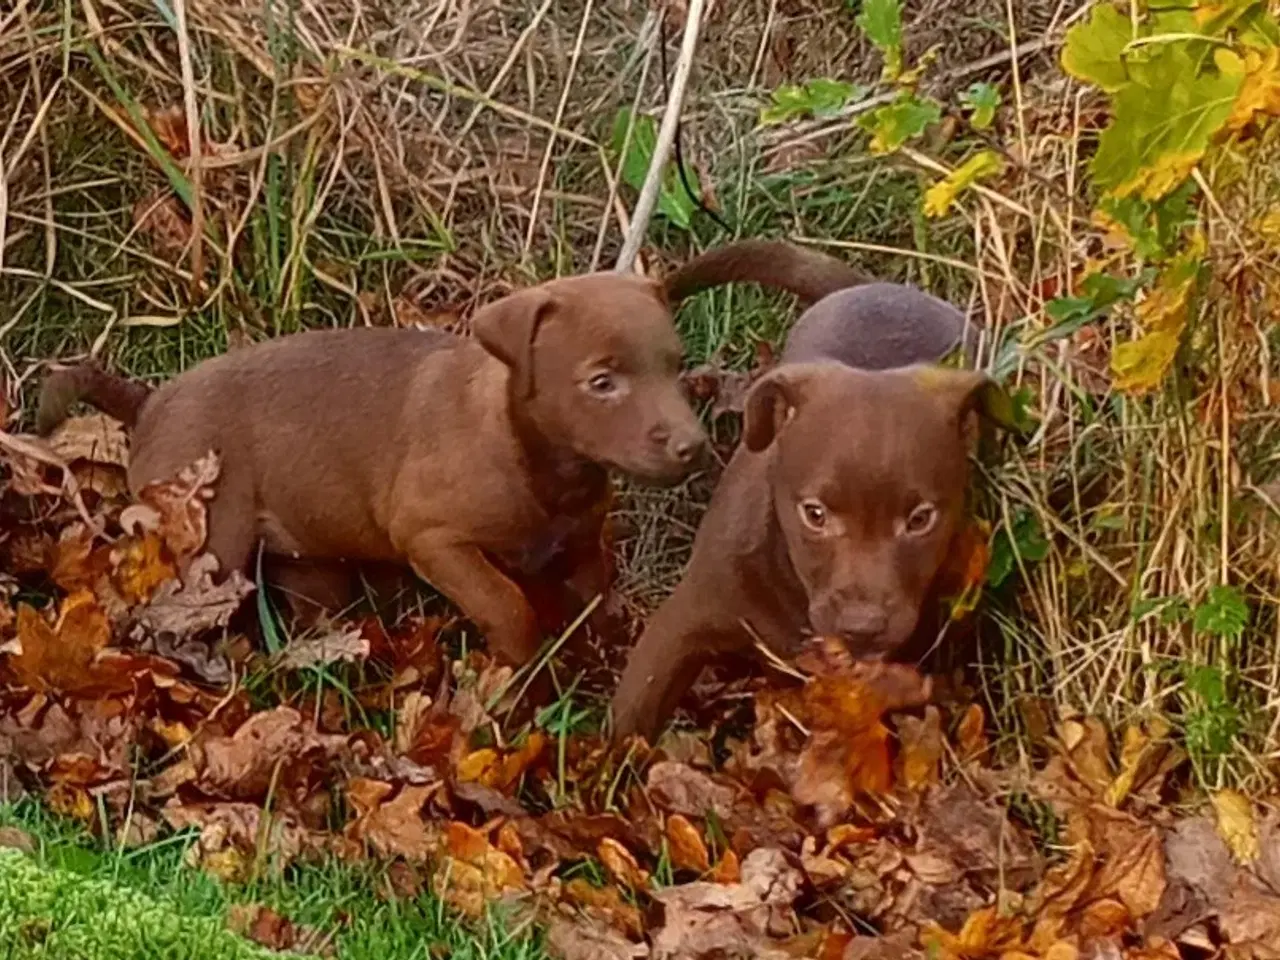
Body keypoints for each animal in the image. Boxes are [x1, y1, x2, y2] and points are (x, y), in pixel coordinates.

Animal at [37, 273, 711, 696]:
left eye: (676, 367)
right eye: (602, 382)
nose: (693, 445)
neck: (539, 462)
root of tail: (150, 404)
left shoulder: (579, 543)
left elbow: (595, 602)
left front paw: (598, 663)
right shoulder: (433, 538)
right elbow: (507, 604)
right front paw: (525, 677)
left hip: (309, 563)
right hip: (213, 545)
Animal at [609, 240, 1008, 742]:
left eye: (920, 520)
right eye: (815, 514)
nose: (862, 627)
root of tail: (870, 285)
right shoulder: (684, 622)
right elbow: (632, 718)